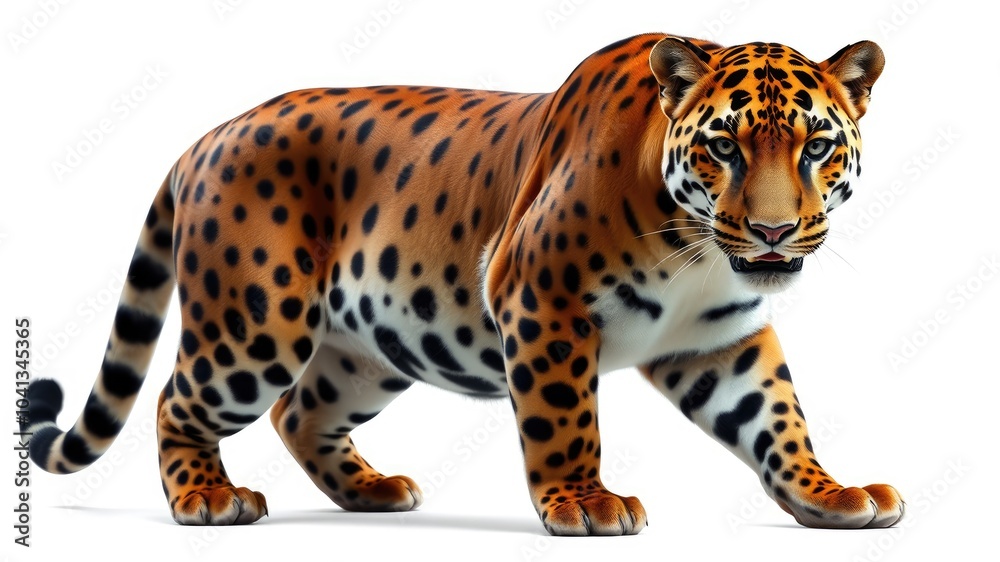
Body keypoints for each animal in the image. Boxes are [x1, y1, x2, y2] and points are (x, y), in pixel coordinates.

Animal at [24, 32, 902, 535]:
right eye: (724, 147)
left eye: (816, 146)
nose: (773, 232)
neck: (696, 251)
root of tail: (202, 139)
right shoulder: (542, 301)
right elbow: (566, 419)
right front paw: (585, 502)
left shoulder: (717, 340)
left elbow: (777, 419)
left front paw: (830, 495)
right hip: (257, 326)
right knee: (179, 401)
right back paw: (206, 499)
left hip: (369, 352)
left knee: (299, 411)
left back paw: (372, 492)